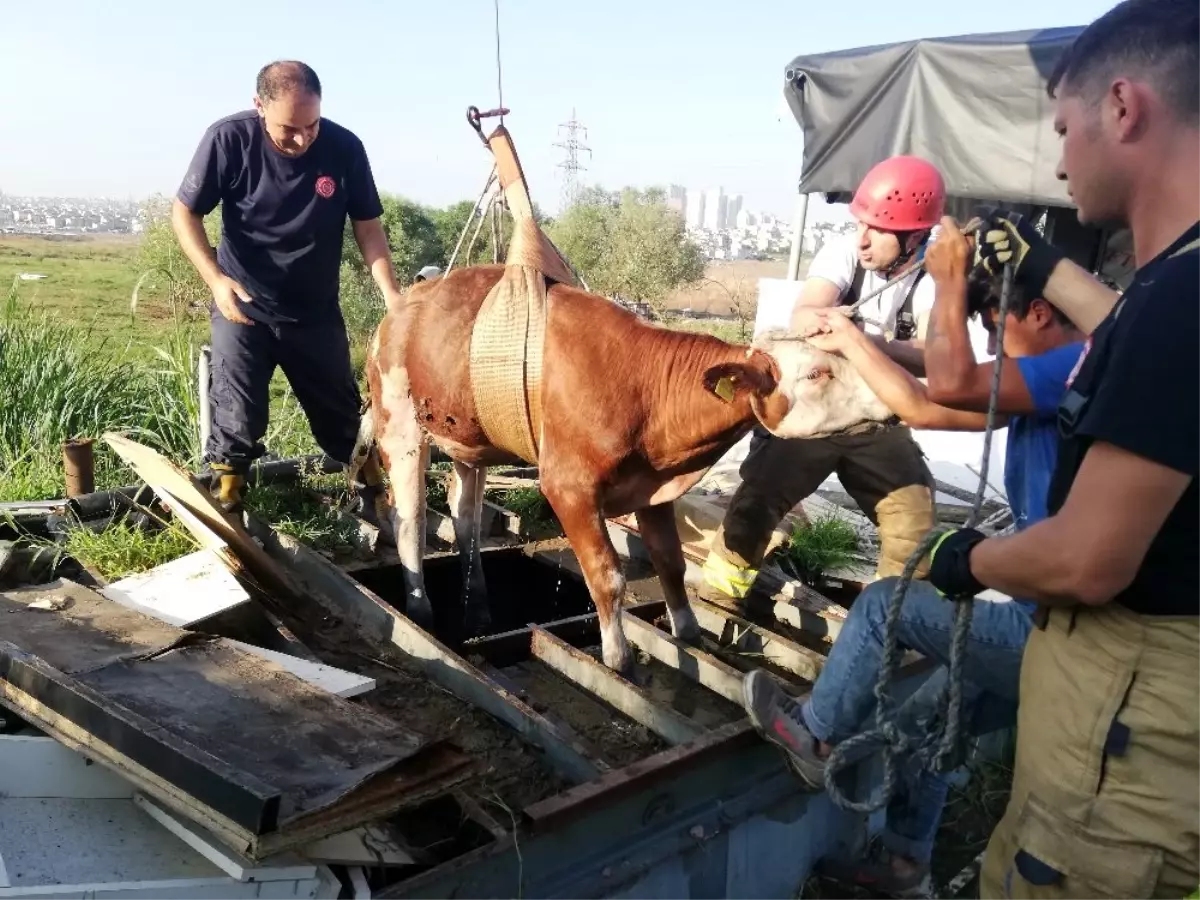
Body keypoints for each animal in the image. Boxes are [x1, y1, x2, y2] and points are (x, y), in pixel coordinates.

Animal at [350, 264, 892, 672]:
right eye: (819, 372)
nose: (890, 397)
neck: (643, 386)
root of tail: (402, 305)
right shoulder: (567, 487)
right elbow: (607, 575)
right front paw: (620, 658)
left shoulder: (654, 488)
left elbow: (671, 563)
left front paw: (688, 634)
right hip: (401, 424)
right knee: (411, 521)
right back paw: (421, 609)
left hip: (469, 441)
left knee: (465, 521)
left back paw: (480, 610)